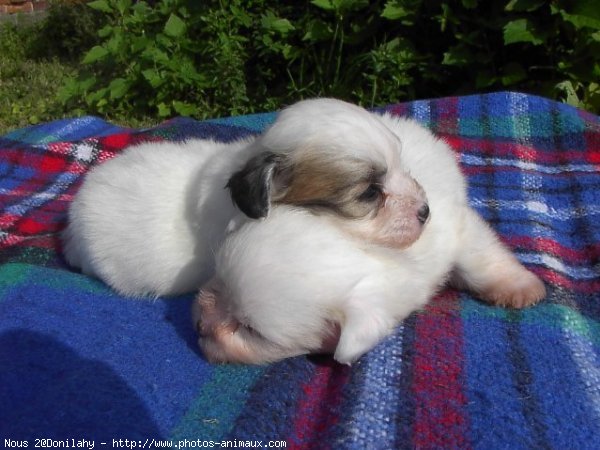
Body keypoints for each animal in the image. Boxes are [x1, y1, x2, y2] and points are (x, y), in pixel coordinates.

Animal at [193, 99, 548, 366]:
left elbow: (479, 257)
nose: (199, 322)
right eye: (369, 194)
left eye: (249, 331)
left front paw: (519, 286)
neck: (371, 254)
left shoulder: (456, 227)